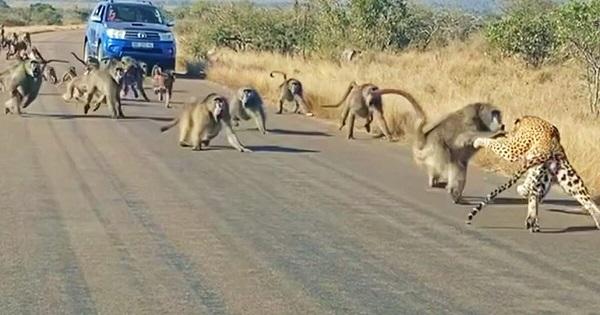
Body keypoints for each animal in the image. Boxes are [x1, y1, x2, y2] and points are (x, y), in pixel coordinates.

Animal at [464, 116, 600, 232]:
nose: (508, 132)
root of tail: (551, 149)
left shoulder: (514, 148)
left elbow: (498, 143)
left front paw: (478, 141)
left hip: (540, 170)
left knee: (534, 194)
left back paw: (531, 220)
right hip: (567, 177)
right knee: (585, 200)